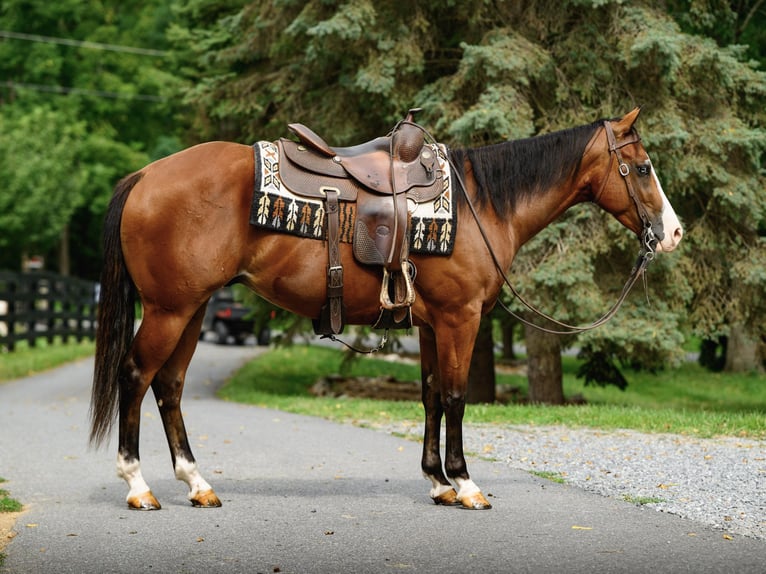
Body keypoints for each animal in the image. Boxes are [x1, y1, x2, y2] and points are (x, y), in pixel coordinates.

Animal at [89, 107, 683, 511]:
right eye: (643, 167)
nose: (674, 233)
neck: (481, 205)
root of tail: (146, 176)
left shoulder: (431, 324)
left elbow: (431, 397)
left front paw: (438, 483)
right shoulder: (461, 318)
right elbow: (457, 397)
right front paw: (466, 484)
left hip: (191, 310)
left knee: (169, 386)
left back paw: (197, 484)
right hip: (168, 310)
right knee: (135, 375)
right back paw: (138, 486)